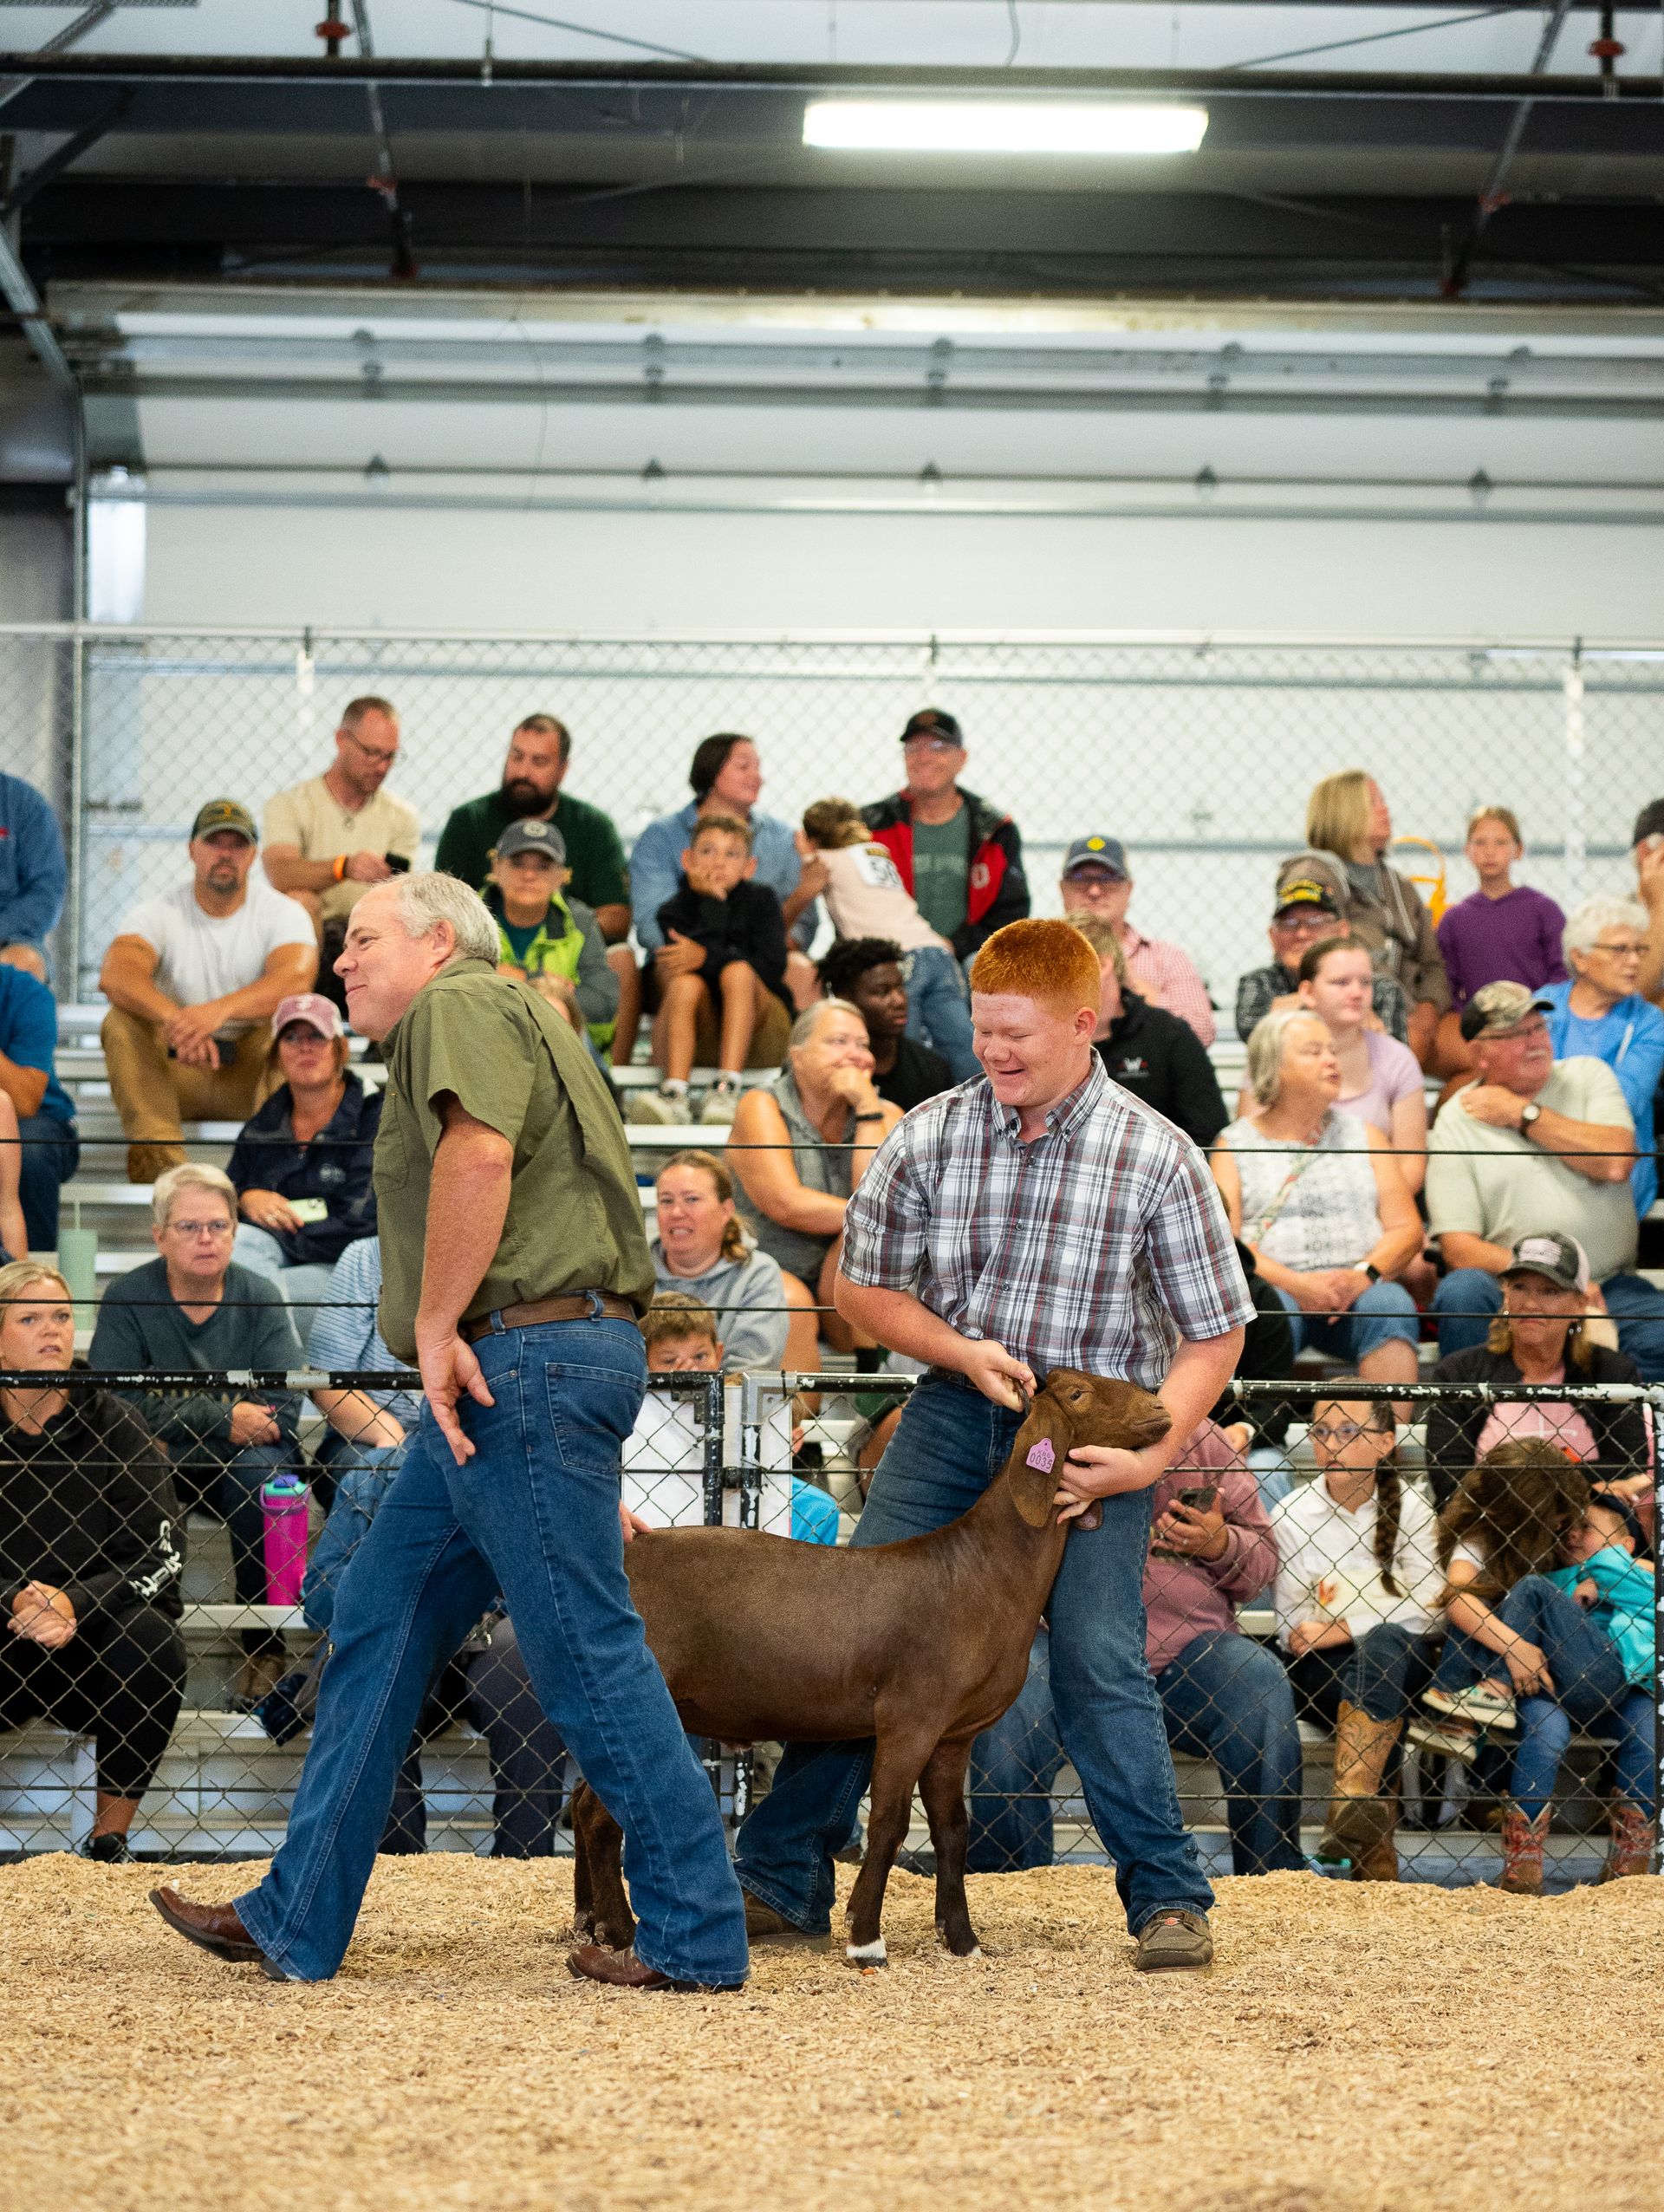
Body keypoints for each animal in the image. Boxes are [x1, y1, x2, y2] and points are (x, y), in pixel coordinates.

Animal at [572, 1370, 1170, 1966]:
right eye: (1078, 1394)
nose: (1161, 1408)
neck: (984, 1570)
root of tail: (626, 1557)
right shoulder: (910, 1717)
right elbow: (889, 1823)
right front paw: (866, 1939)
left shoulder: (954, 1734)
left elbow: (953, 1830)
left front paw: (962, 1940)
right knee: (603, 1818)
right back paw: (620, 1933)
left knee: (581, 1804)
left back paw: (586, 1922)